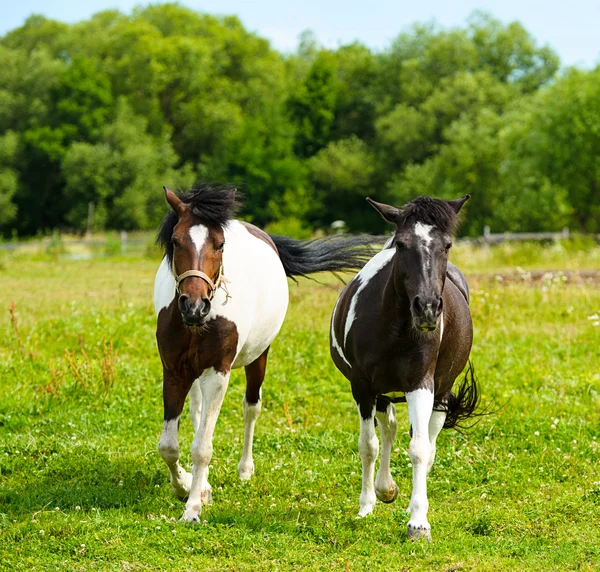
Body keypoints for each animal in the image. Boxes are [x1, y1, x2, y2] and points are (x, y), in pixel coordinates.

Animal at [152, 184, 372, 524]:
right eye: (175, 241)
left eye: (220, 244)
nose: (194, 305)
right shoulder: (174, 371)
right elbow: (169, 446)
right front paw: (186, 486)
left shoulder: (218, 373)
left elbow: (202, 447)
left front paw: (192, 508)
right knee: (198, 414)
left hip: (258, 358)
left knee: (250, 408)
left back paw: (244, 470)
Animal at [328, 194, 478, 540]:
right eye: (401, 244)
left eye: (447, 245)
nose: (427, 308)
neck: (394, 327)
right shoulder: (363, 387)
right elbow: (368, 445)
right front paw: (367, 505)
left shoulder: (421, 384)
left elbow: (420, 449)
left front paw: (418, 523)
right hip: (382, 392)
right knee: (388, 429)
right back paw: (384, 489)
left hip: (441, 391)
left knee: (427, 442)